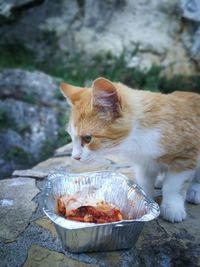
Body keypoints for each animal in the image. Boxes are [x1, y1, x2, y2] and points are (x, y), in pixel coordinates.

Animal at [60, 78, 200, 224]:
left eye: (87, 138)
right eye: (71, 137)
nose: (75, 157)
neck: (136, 139)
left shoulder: (187, 155)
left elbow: (174, 186)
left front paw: (172, 206)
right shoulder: (143, 163)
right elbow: (144, 182)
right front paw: (144, 198)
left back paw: (195, 190)